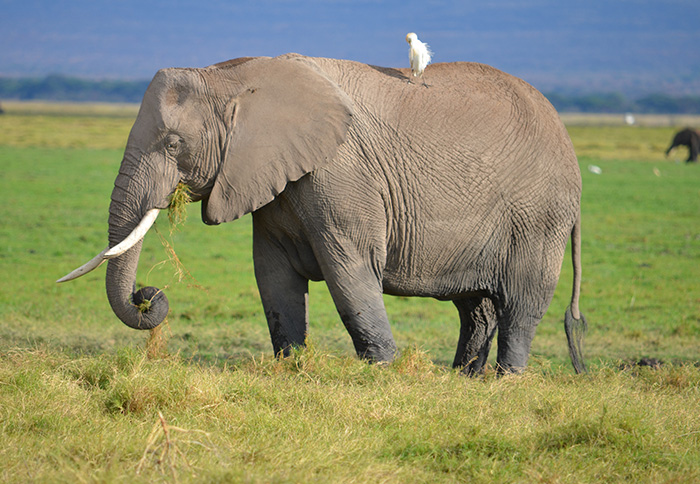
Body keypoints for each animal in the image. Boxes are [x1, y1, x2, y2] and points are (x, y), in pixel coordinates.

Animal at [58, 53, 587, 374]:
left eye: (172, 144)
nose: (148, 296)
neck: (233, 75)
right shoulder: (271, 181)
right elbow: (272, 277)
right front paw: (292, 369)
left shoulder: (342, 175)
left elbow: (350, 271)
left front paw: (383, 374)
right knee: (475, 307)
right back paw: (464, 379)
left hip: (538, 215)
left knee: (520, 303)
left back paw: (504, 380)